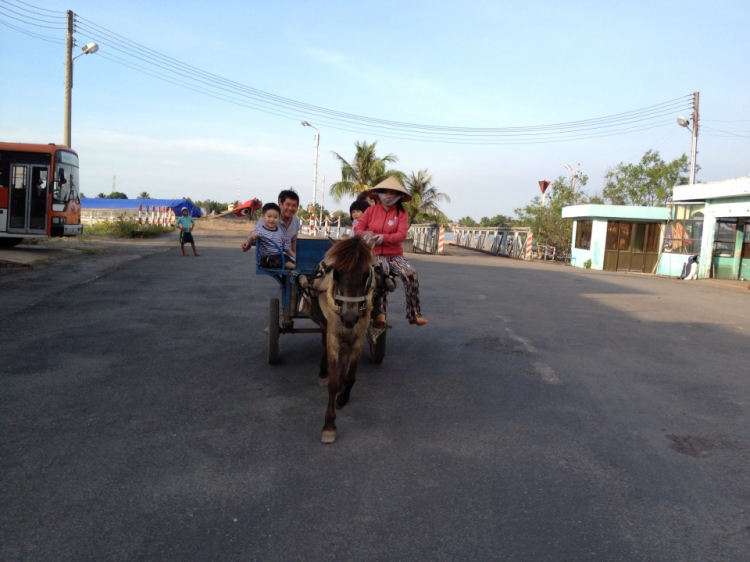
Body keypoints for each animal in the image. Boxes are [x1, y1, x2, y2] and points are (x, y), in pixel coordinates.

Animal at [302, 235, 378, 442]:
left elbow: (351, 375)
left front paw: (343, 397)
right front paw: (329, 425)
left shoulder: (358, 336)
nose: (349, 317)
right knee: (323, 342)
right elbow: (333, 381)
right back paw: (323, 371)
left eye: (366, 274)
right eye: (337, 273)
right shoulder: (334, 334)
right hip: (324, 322)